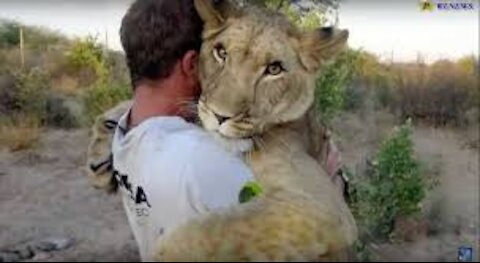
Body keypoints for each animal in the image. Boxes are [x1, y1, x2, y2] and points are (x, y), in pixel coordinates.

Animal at [86, 0, 356, 260]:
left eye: (274, 69)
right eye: (221, 53)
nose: (220, 116)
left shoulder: (323, 206)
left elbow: (212, 230)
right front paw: (101, 149)